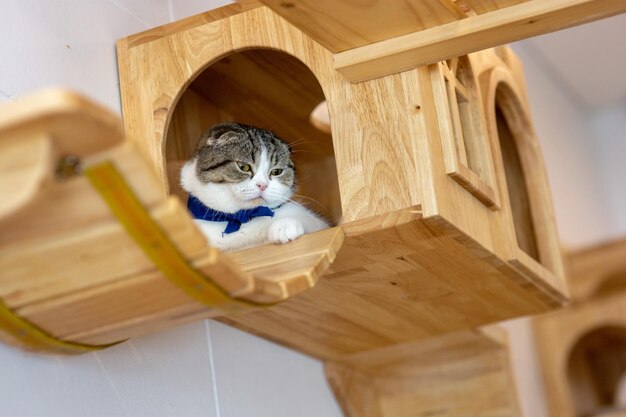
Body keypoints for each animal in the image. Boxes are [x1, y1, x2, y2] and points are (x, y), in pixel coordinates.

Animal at [179, 122, 330, 250]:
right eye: (243, 167)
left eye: (276, 171)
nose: (262, 185)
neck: (244, 219)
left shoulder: (318, 224)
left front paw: (285, 226)